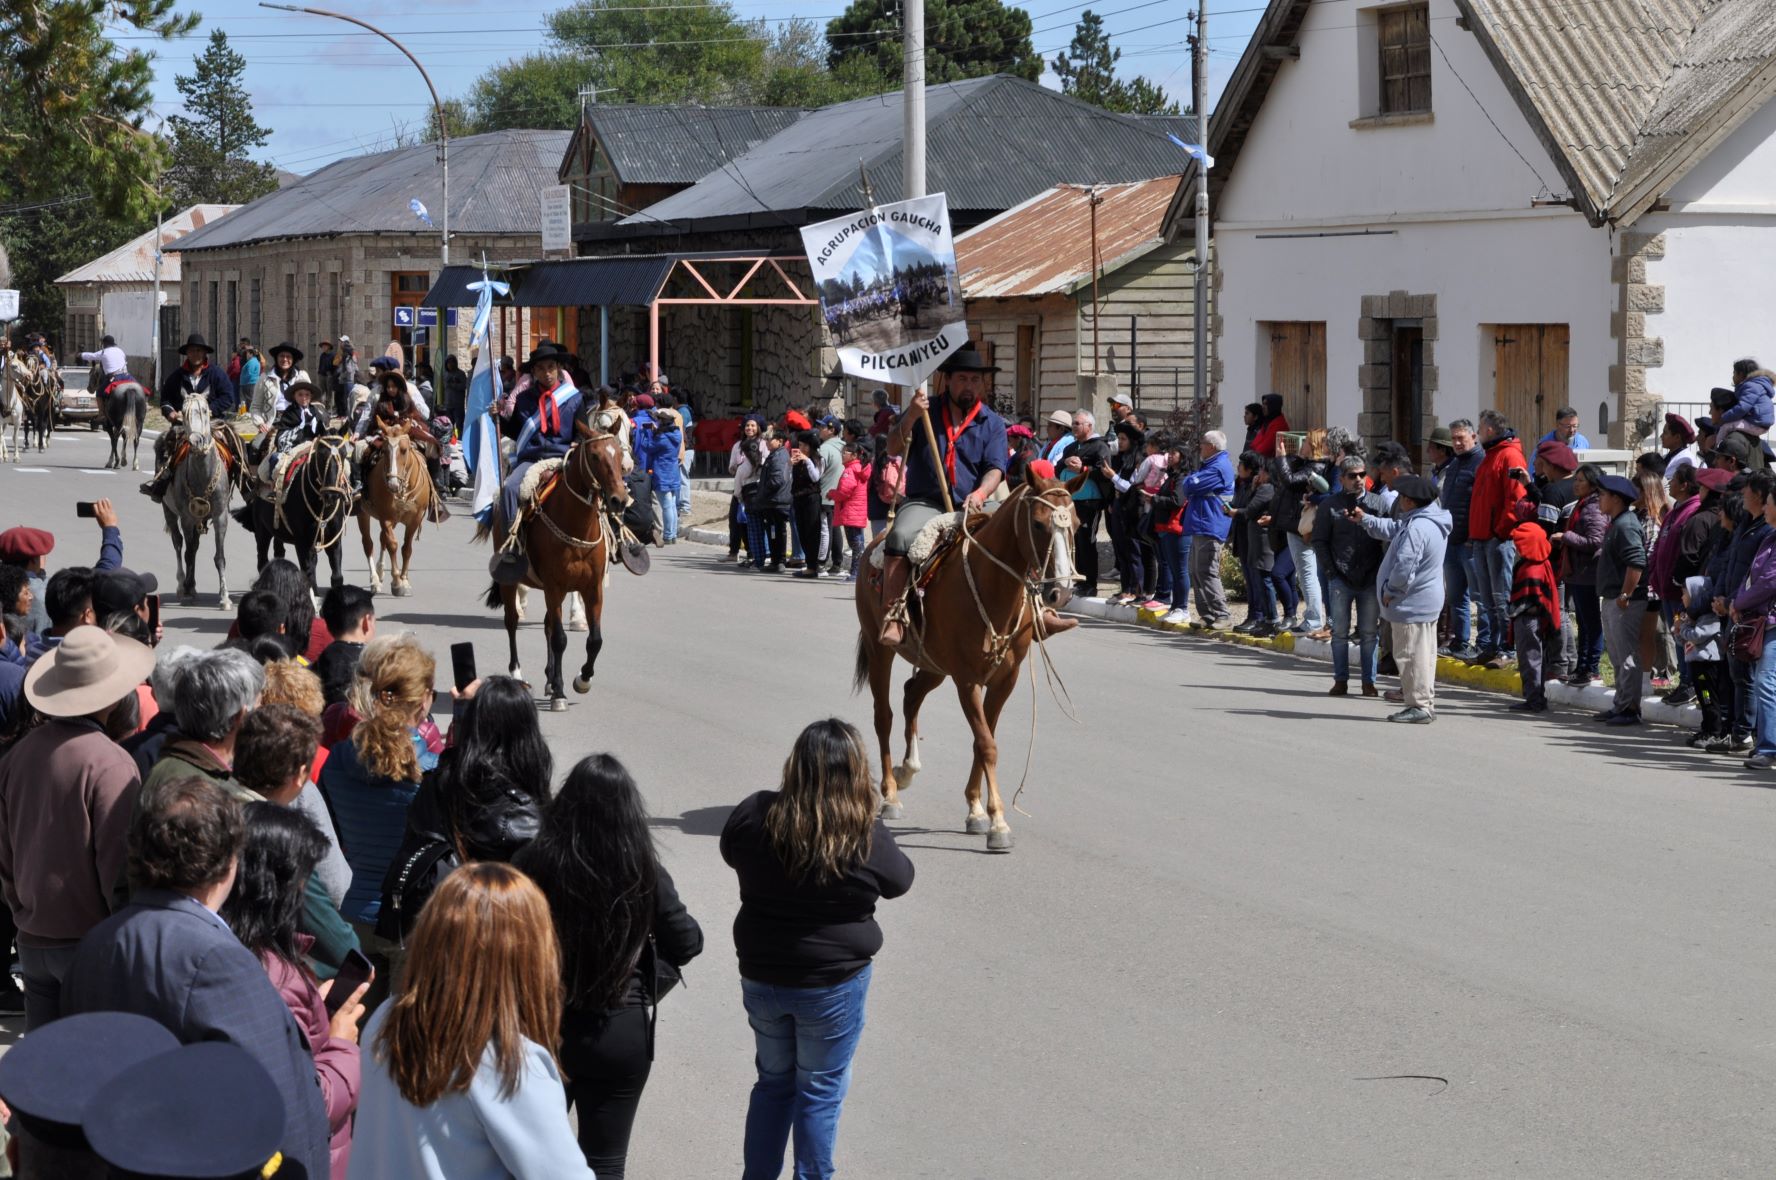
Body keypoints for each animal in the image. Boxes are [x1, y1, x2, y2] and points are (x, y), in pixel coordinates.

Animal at [165, 396, 236, 611]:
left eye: (205, 410)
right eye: (183, 412)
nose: (197, 441)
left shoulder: (220, 516)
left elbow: (219, 557)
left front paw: (225, 598)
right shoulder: (187, 517)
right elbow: (187, 553)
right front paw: (187, 591)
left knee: (193, 546)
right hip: (169, 511)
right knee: (179, 544)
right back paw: (183, 586)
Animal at [355, 421, 431, 593]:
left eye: (404, 450)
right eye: (384, 451)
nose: (392, 484)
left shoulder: (415, 519)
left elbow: (406, 548)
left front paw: (405, 580)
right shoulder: (386, 517)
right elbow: (393, 545)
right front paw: (397, 581)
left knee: (382, 539)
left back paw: (381, 571)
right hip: (363, 512)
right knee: (368, 543)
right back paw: (375, 580)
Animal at [479, 431, 632, 714]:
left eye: (618, 451)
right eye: (594, 456)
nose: (618, 499)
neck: (578, 525)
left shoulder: (592, 588)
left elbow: (595, 640)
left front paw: (582, 679)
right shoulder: (555, 586)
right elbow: (560, 639)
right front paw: (560, 693)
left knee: (548, 626)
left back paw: (550, 679)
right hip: (511, 583)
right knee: (512, 622)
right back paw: (518, 674)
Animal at [848, 476, 1079, 853]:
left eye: (1076, 524)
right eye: (1038, 524)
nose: (1061, 592)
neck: (994, 587)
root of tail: (875, 546)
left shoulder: (1005, 679)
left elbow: (983, 739)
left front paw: (975, 809)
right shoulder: (967, 680)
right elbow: (986, 744)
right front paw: (998, 822)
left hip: (933, 665)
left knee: (911, 695)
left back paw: (908, 768)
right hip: (879, 647)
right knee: (884, 715)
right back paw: (891, 794)